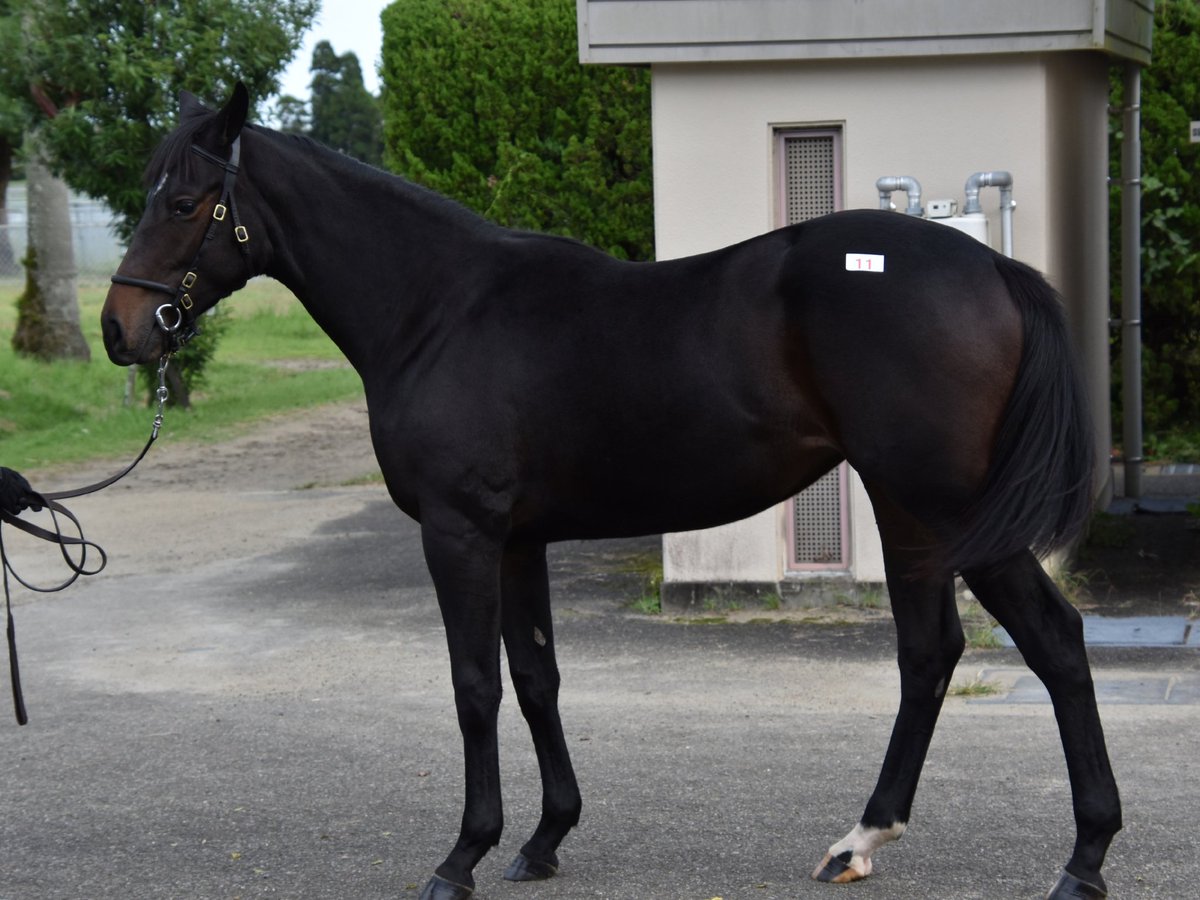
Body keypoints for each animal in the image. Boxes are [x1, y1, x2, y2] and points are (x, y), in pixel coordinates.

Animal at [101, 83, 1119, 900]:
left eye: (186, 200)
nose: (120, 330)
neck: (440, 309)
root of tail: (993, 266)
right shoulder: (518, 539)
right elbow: (536, 677)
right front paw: (545, 838)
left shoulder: (460, 534)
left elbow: (474, 685)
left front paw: (462, 857)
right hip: (908, 507)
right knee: (930, 652)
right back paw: (860, 840)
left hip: (944, 505)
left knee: (1054, 641)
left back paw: (1084, 859)